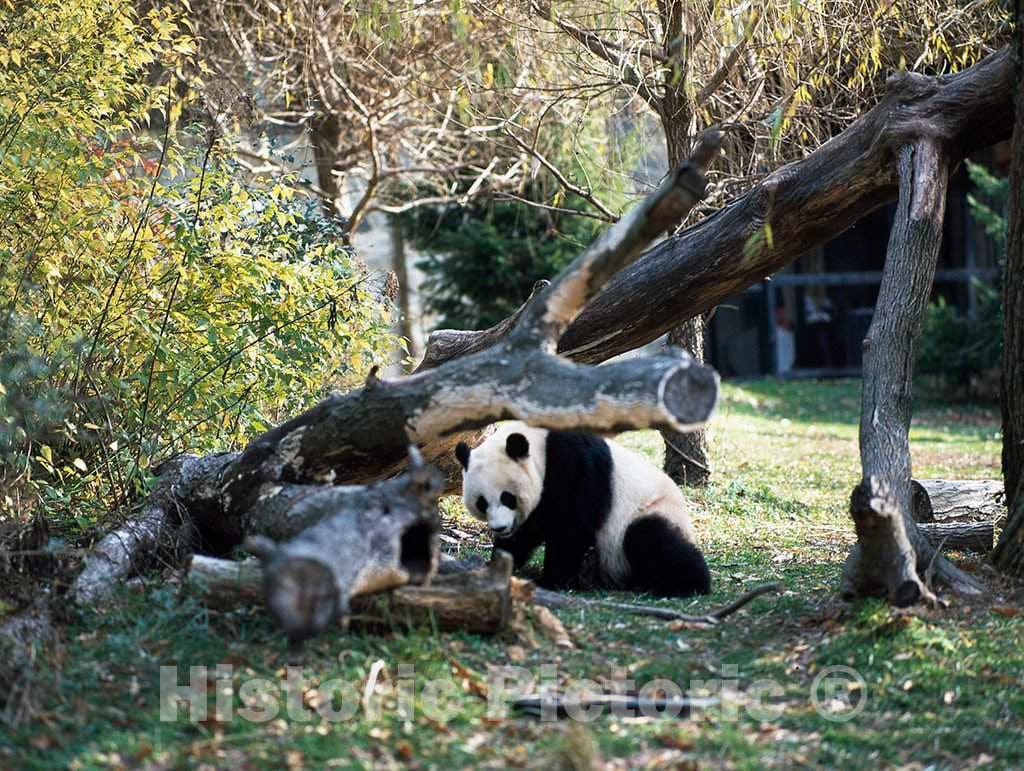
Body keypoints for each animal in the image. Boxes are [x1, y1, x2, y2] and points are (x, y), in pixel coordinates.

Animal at [455, 421, 711, 597]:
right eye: (482, 503)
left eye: (508, 498)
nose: (500, 528)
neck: (541, 445)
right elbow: (528, 531)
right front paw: (497, 564)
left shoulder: (574, 465)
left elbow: (571, 526)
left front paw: (552, 580)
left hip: (652, 510)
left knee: (650, 538)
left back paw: (688, 583)